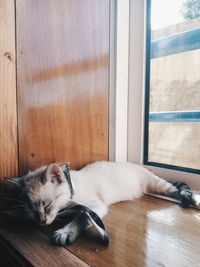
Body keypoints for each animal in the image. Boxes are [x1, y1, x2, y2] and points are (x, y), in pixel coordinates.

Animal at [3, 161, 200, 247]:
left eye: (47, 205)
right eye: (31, 210)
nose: (42, 222)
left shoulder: (95, 206)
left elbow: (81, 216)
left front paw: (66, 232)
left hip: (157, 184)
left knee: (174, 188)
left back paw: (192, 200)